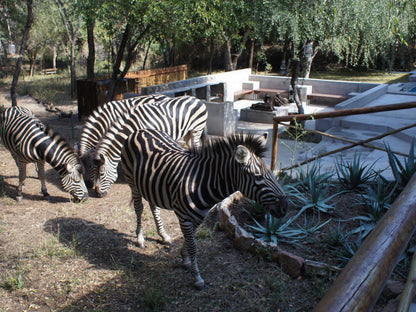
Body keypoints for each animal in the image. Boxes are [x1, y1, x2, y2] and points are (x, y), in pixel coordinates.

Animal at [121, 128, 290, 288]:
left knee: (154, 207)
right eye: (258, 177)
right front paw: (197, 277)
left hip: (152, 186)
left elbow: (190, 240)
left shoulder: (199, 216)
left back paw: (164, 235)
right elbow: (193, 245)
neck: (202, 182)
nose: (285, 208)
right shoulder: (183, 217)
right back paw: (140, 238)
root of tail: (140, 131)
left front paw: (185, 257)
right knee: (139, 208)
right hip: (132, 183)